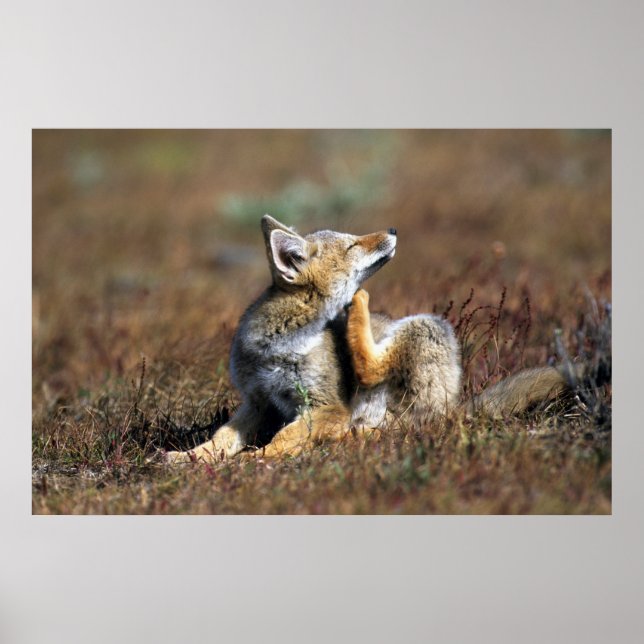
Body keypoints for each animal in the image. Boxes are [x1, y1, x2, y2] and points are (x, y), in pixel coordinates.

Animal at [165, 214, 572, 463]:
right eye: (352, 246)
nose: (393, 230)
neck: (279, 346)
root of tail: (456, 407)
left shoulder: (328, 406)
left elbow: (280, 440)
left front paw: (256, 460)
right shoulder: (257, 402)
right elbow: (220, 439)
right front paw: (189, 459)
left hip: (428, 327)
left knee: (381, 390)